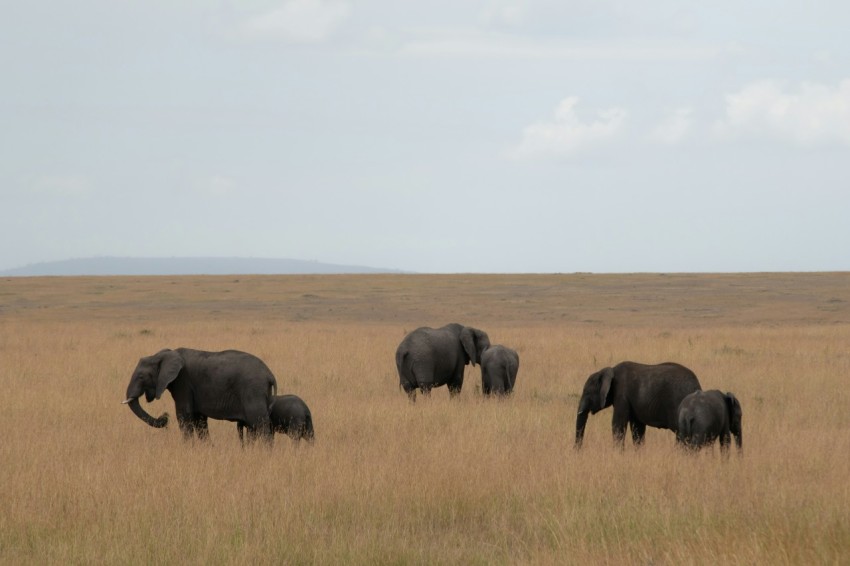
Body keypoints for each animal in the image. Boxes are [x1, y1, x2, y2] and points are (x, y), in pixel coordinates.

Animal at [122, 346, 276, 444]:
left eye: (141, 377)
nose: (164, 417)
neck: (165, 354)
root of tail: (270, 375)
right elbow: (200, 419)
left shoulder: (182, 382)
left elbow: (184, 415)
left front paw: (187, 447)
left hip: (253, 391)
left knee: (260, 424)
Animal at [572, 364, 700, 452]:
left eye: (587, 393)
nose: (577, 451)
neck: (610, 370)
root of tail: (697, 386)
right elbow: (637, 428)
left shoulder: (621, 395)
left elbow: (618, 424)